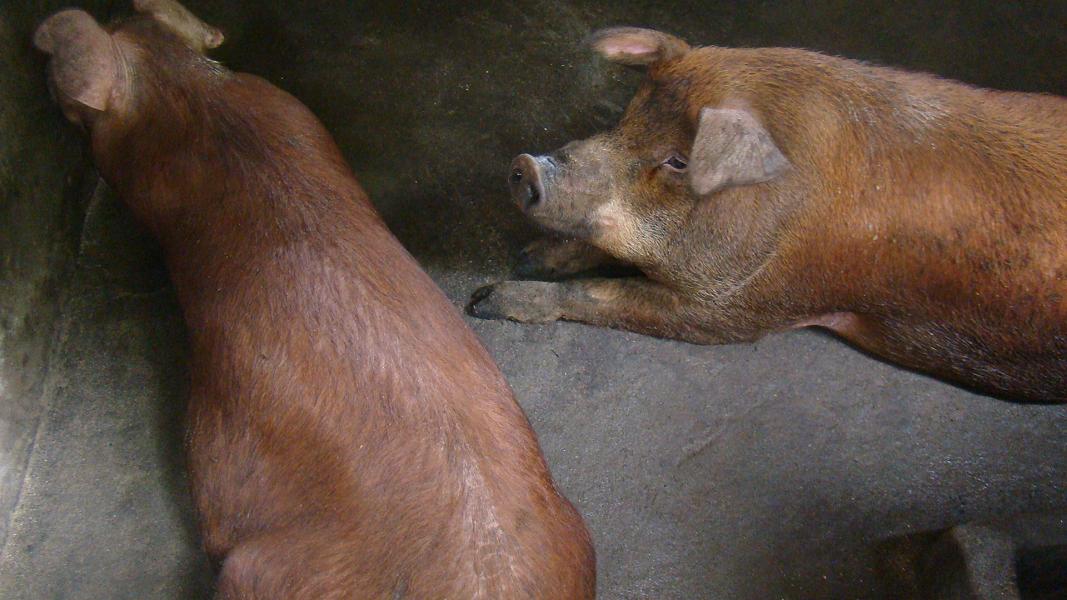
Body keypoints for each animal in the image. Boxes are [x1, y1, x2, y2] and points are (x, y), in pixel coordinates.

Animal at [471, 26, 1067, 401]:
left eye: (679, 160)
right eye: (629, 116)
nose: (526, 166)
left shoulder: (744, 308)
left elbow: (602, 295)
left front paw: (486, 300)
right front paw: (528, 257)